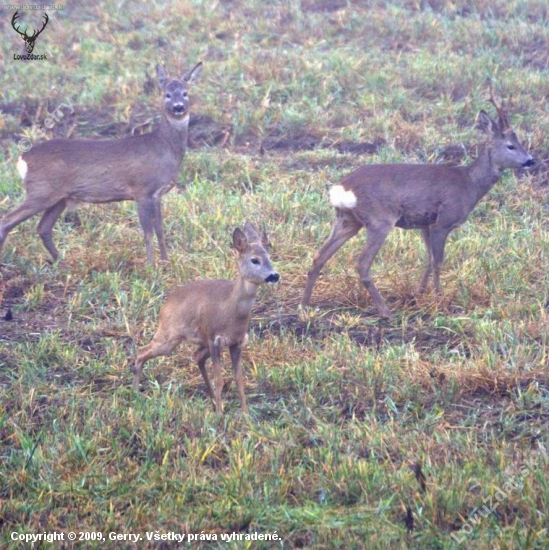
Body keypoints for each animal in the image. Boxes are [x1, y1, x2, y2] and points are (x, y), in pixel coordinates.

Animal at [0, 61, 201, 266]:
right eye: (167, 94)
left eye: (185, 93)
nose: (178, 107)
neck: (164, 146)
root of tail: (23, 159)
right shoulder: (142, 190)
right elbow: (147, 232)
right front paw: (151, 266)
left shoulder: (157, 193)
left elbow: (160, 229)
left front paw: (166, 262)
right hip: (41, 191)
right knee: (7, 221)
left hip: (59, 198)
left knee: (43, 228)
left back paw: (62, 263)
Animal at [132, 223, 278, 414]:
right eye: (255, 260)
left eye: (269, 256)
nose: (274, 275)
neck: (230, 310)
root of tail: (164, 306)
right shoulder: (214, 339)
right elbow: (220, 380)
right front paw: (220, 415)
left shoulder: (236, 342)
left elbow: (239, 379)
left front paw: (245, 414)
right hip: (168, 336)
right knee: (142, 351)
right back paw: (135, 394)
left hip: (198, 341)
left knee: (196, 356)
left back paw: (213, 401)